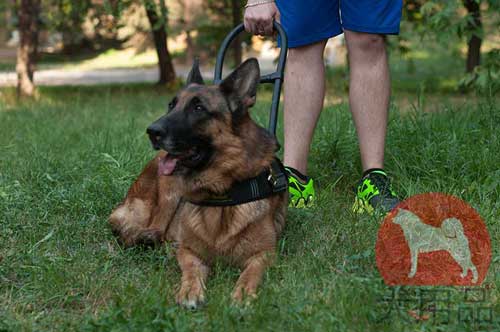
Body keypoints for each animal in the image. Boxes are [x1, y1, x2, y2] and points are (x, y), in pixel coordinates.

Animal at [109, 58, 290, 308]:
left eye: (198, 108)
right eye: (171, 106)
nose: (151, 131)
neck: (222, 194)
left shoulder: (265, 253)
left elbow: (251, 273)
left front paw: (243, 293)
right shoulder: (188, 251)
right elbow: (191, 269)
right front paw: (190, 290)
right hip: (168, 194)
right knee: (147, 231)